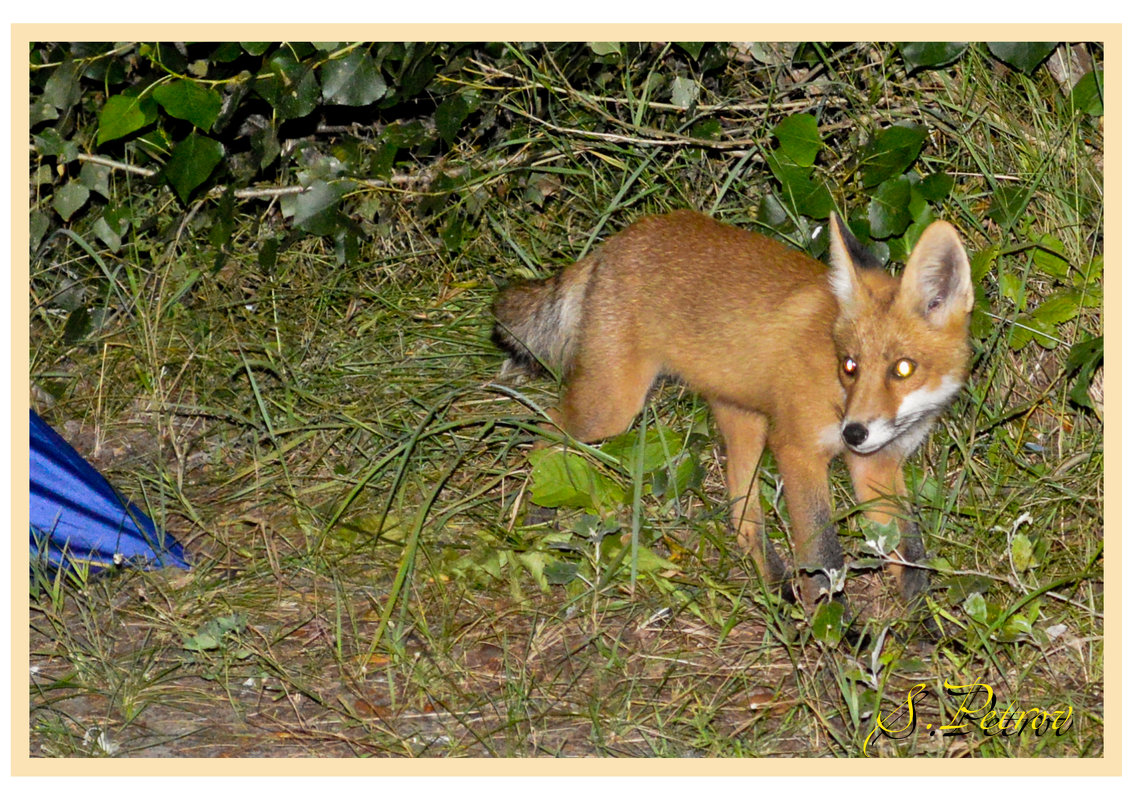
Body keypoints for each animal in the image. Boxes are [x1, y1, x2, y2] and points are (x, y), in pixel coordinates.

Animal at [496, 208, 975, 603]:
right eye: (850, 365)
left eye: (903, 369)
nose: (853, 432)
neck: (836, 392)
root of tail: (618, 239)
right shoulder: (798, 449)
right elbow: (824, 559)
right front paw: (835, 633)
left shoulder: (877, 464)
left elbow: (910, 555)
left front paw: (924, 628)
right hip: (611, 408)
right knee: (545, 427)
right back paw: (536, 507)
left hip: (743, 421)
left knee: (741, 513)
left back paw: (776, 583)